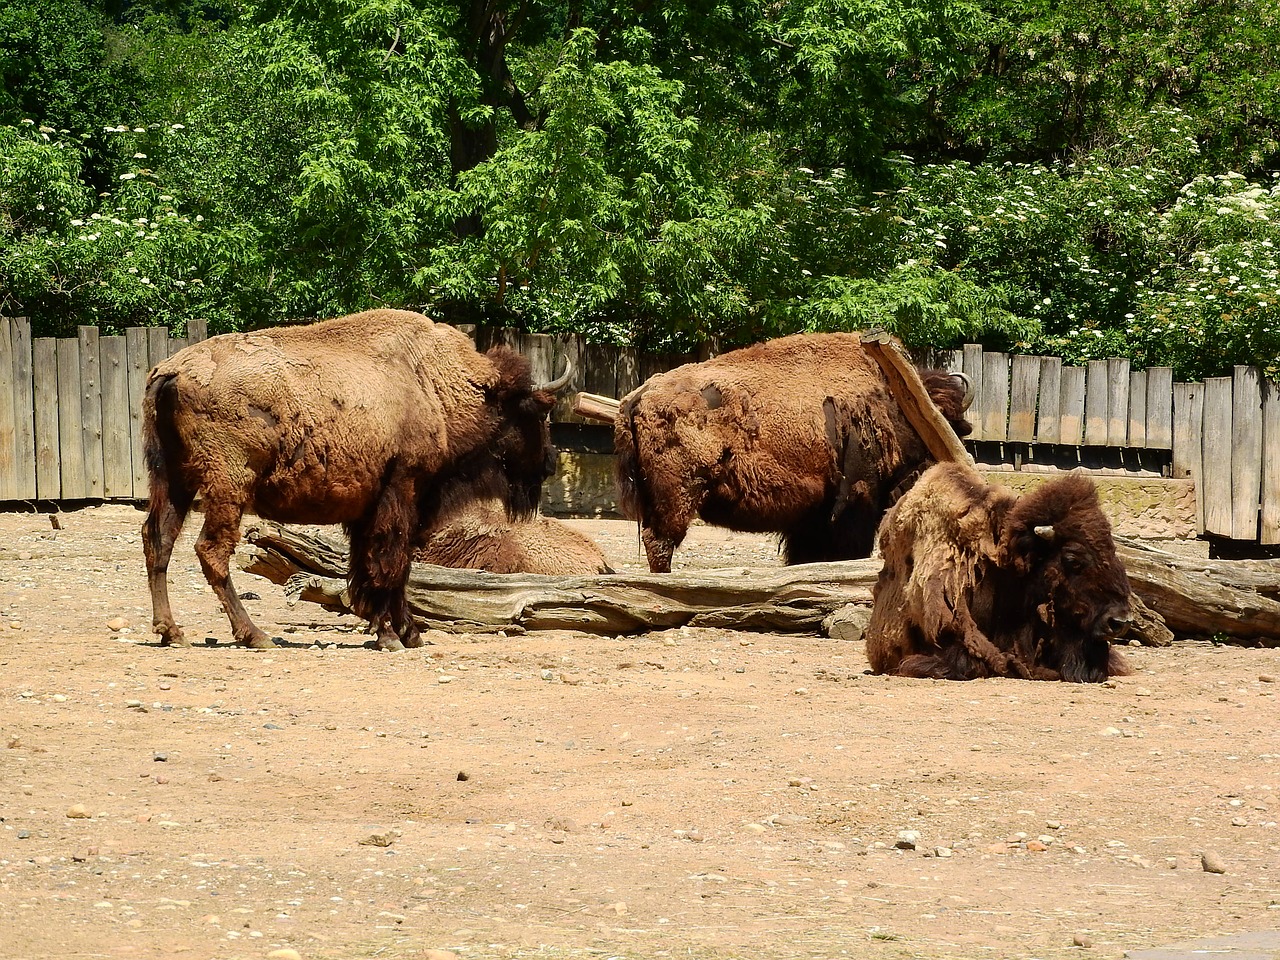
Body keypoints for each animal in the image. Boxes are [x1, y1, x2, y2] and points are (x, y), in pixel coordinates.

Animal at [140, 309, 570, 655]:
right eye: (535, 413)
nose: (549, 463)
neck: (437, 388)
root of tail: (172, 371)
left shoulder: (369, 509)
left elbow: (370, 567)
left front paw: (403, 632)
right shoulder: (403, 493)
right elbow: (391, 564)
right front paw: (395, 636)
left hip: (173, 481)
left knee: (158, 541)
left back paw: (171, 632)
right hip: (228, 484)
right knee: (211, 550)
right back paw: (254, 635)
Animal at [616, 332, 967, 570]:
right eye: (940, 421)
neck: (891, 404)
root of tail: (638, 395)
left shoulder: (810, 515)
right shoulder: (856, 499)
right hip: (678, 496)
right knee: (661, 542)